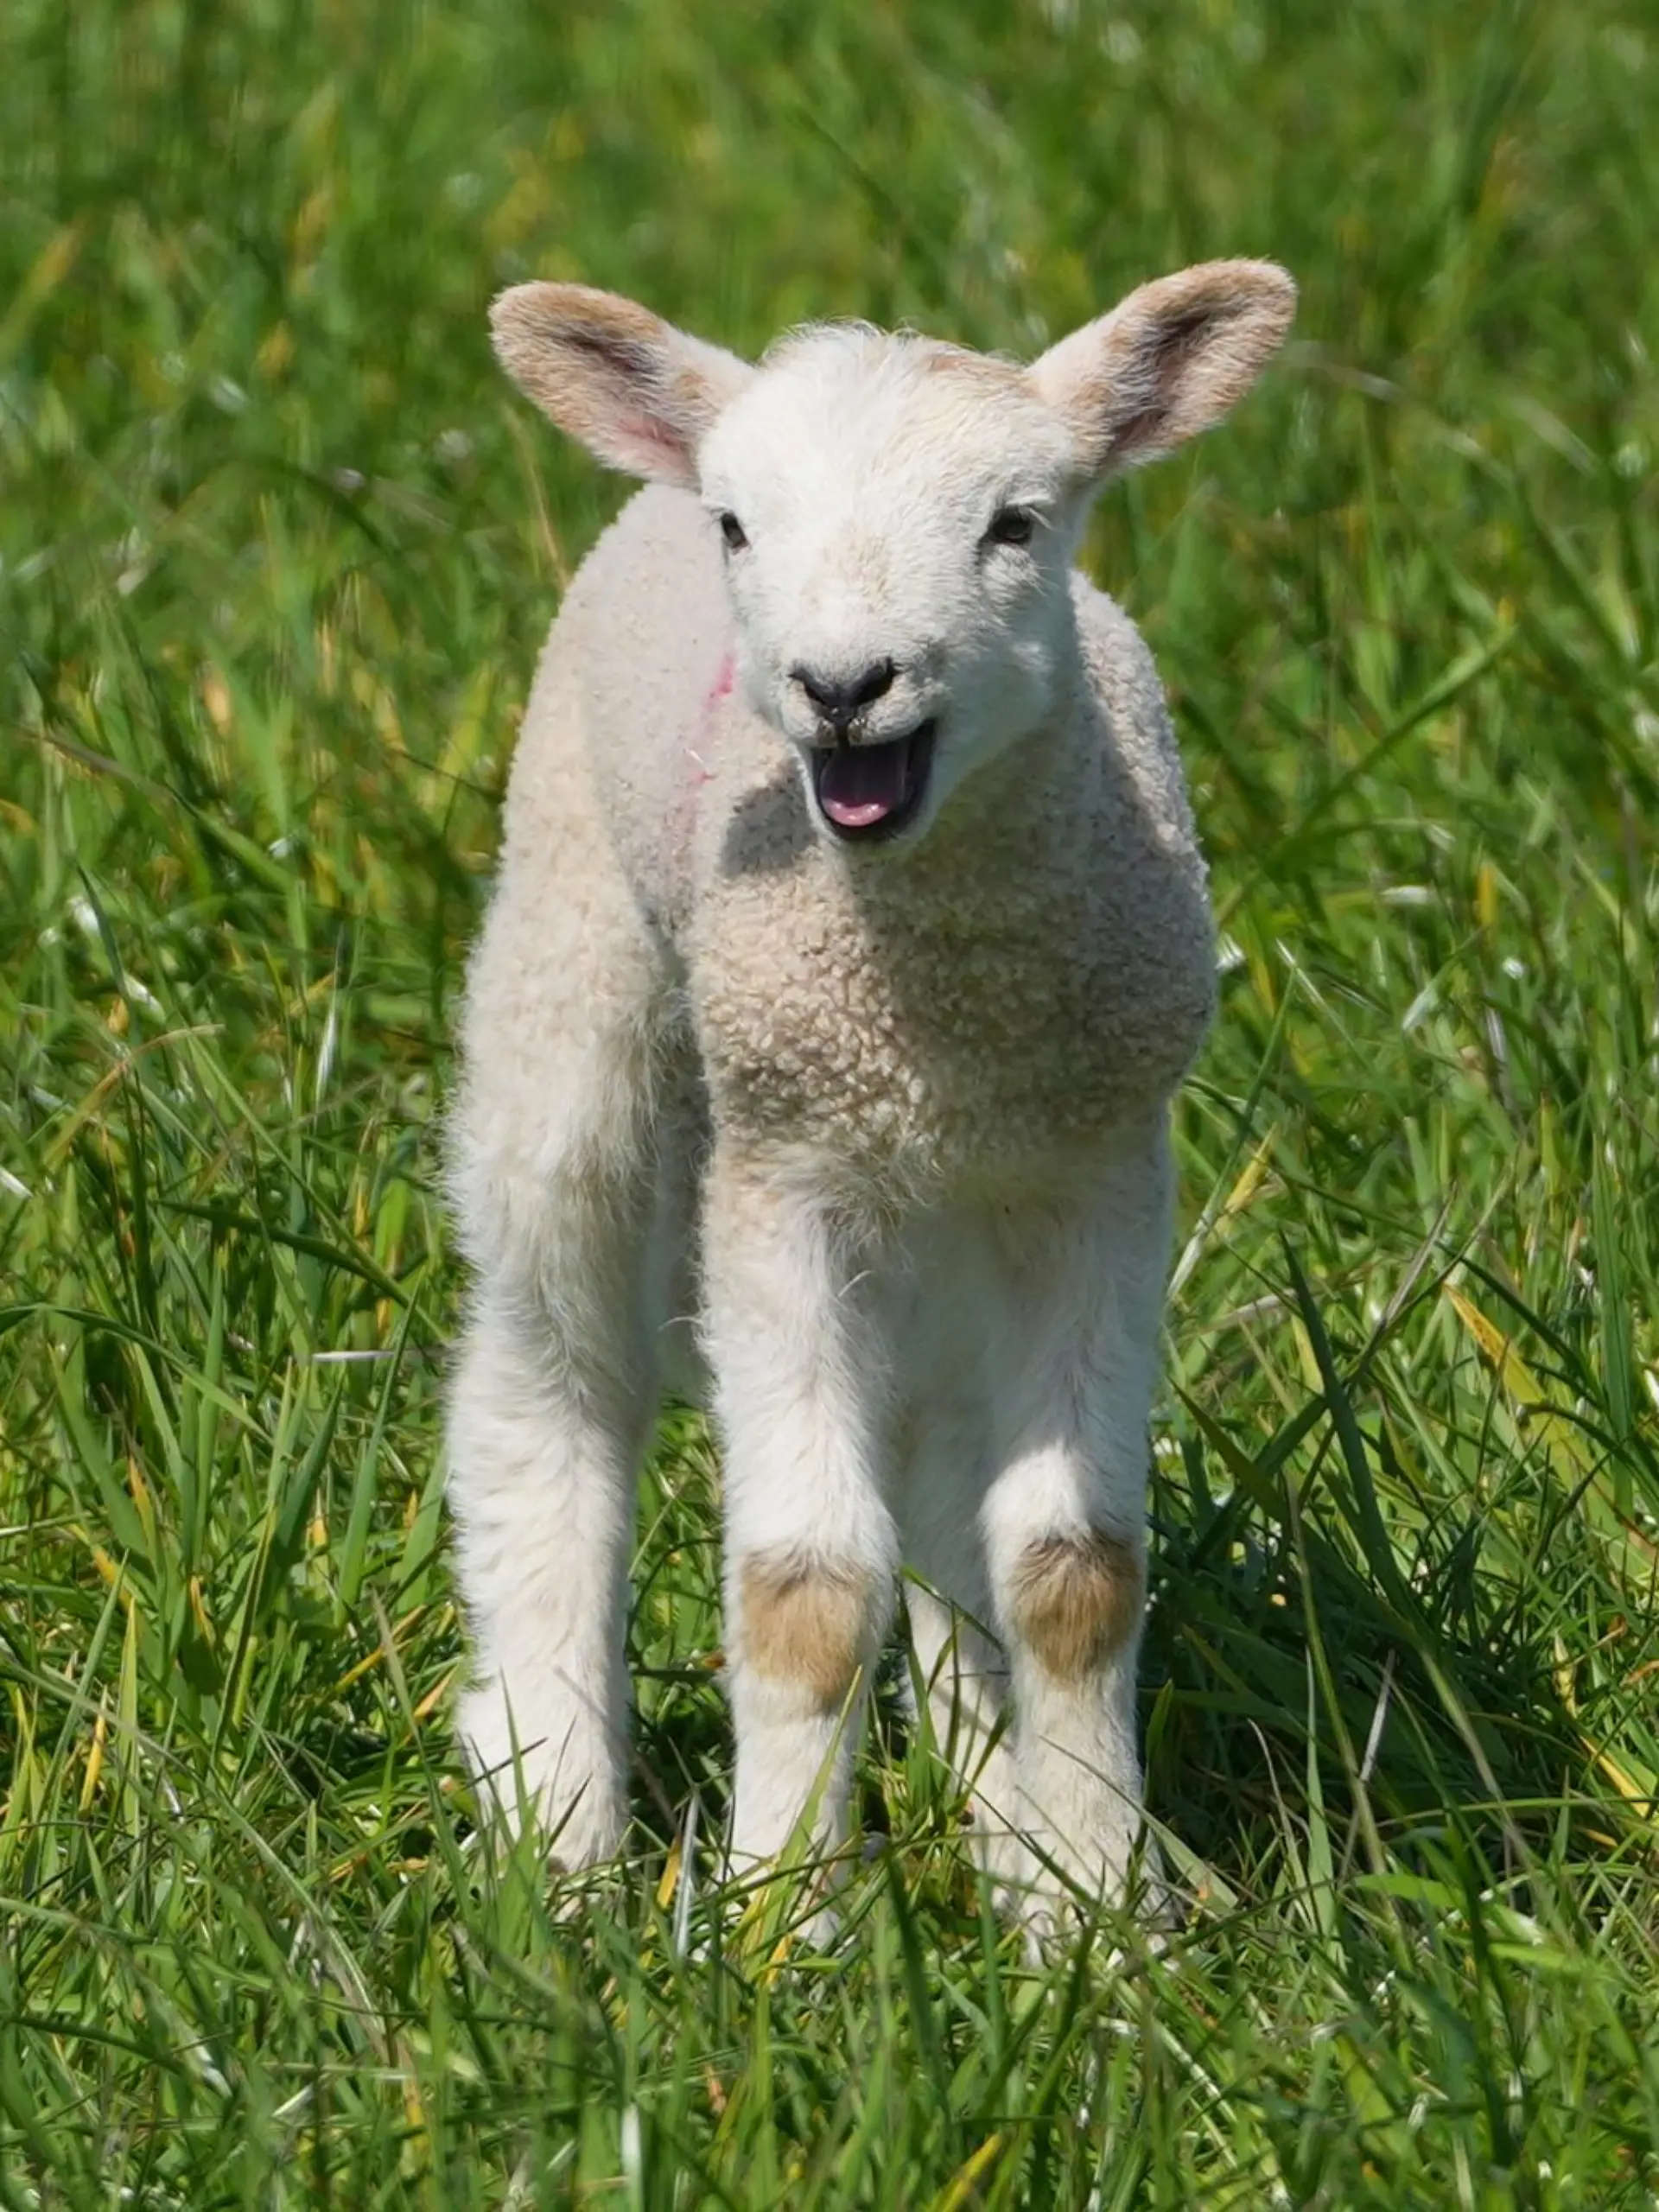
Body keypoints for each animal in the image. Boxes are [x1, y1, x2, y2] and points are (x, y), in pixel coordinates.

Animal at [447, 261, 1296, 1931]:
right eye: (740, 527)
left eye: (1017, 523)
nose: (844, 686)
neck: (940, 1004)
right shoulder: (785, 1175)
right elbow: (807, 1594)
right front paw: (785, 1929)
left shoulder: (1095, 1170)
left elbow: (1071, 1574)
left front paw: (1100, 1916)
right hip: (573, 981)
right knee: (550, 1377)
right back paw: (556, 1822)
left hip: (943, 1219)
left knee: (940, 1467)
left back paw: (1000, 1826)